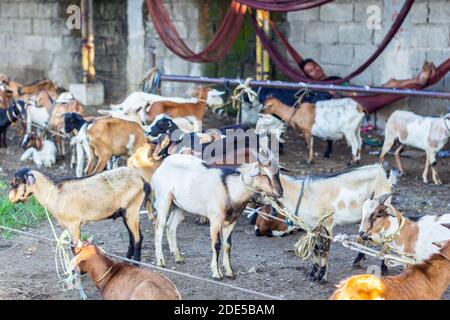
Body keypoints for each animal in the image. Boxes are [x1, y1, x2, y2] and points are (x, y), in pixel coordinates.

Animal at [8, 166, 153, 262]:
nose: (10, 198)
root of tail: (142, 180)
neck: (54, 194)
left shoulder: (74, 225)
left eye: (16, 182)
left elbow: (76, 249)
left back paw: (136, 264)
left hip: (132, 210)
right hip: (126, 213)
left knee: (138, 238)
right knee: (132, 237)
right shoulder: (70, 227)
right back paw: (127, 260)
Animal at [151, 151, 284, 278]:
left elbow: (227, 245)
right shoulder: (215, 220)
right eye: (264, 174)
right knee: (159, 227)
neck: (230, 189)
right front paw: (216, 273)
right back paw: (161, 261)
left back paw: (178, 258)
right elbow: (216, 245)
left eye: (278, 174)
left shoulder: (231, 221)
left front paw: (230, 272)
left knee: (171, 227)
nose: (280, 192)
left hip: (179, 206)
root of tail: (162, 166)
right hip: (163, 199)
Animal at [264, 165, 398, 282]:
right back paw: (357, 261)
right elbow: (315, 249)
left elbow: (324, 250)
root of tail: (383, 175)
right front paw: (313, 275)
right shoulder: (312, 227)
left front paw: (322, 277)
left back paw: (384, 268)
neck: (304, 195)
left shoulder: (327, 225)